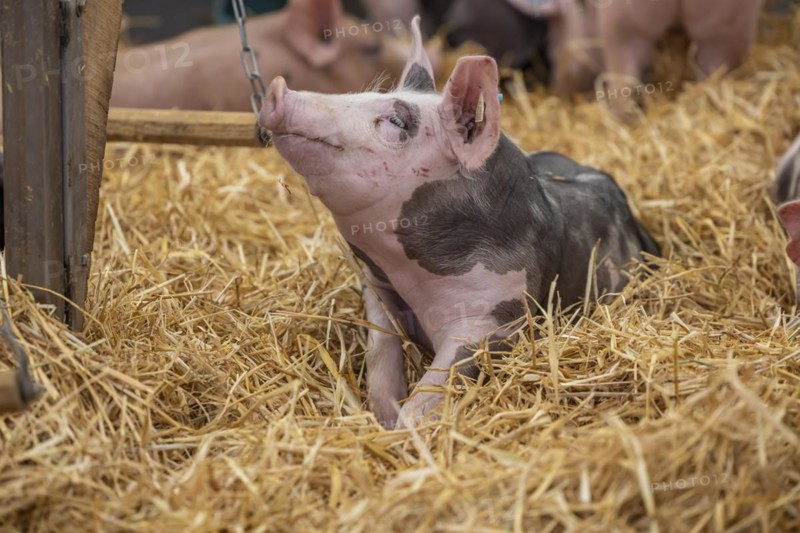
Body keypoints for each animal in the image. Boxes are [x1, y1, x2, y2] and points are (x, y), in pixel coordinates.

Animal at [259, 16, 659, 428]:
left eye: (396, 120)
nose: (277, 88)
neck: (409, 280)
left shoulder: (494, 318)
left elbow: (432, 391)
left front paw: (400, 428)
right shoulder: (376, 287)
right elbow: (380, 349)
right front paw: (383, 415)